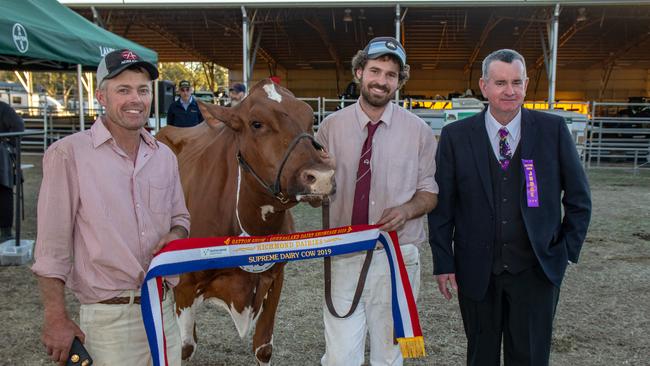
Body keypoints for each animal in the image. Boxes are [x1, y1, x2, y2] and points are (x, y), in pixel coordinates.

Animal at [154, 78, 332, 364]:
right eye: (256, 123)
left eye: (309, 118)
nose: (322, 176)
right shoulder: (185, 283)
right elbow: (184, 348)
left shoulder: (276, 276)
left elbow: (263, 347)